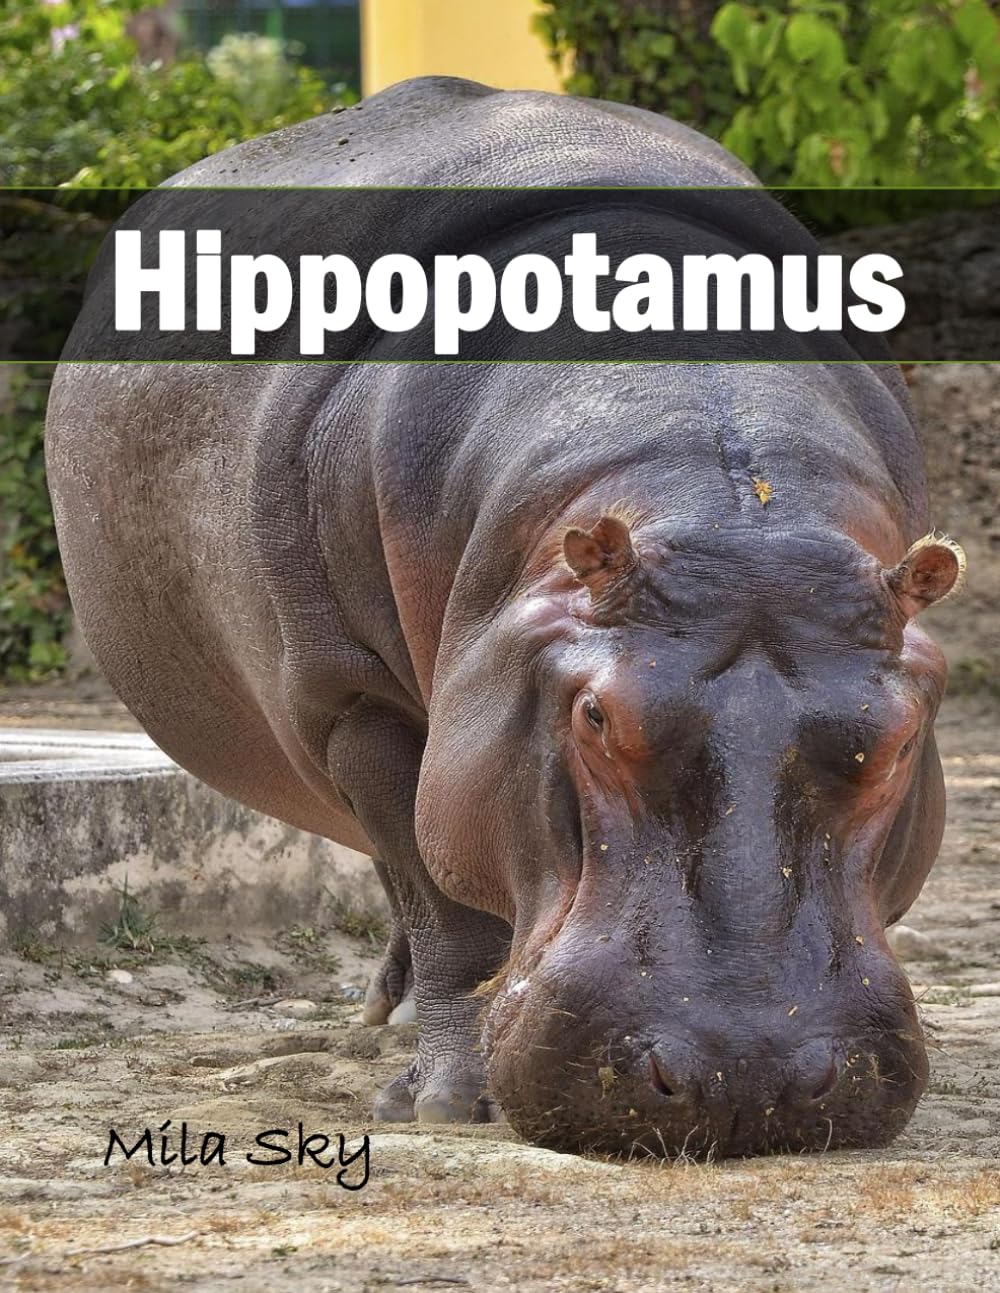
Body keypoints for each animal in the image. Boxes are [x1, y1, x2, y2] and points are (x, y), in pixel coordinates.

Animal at [46, 77, 965, 1158]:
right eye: (595, 717)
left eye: (897, 741)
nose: (743, 1074)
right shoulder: (354, 700)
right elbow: (443, 903)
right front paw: (445, 1100)